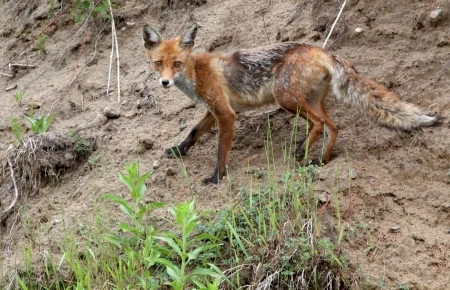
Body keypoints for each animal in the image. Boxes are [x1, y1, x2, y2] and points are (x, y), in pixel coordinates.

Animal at [142, 23, 442, 185]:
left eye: (176, 64)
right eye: (158, 63)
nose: (164, 82)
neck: (195, 72)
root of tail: (323, 50)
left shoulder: (226, 113)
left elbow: (220, 151)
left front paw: (218, 177)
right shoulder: (215, 109)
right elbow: (193, 132)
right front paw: (178, 151)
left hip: (285, 97)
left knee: (319, 123)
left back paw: (302, 151)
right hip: (308, 100)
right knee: (333, 126)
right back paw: (321, 159)